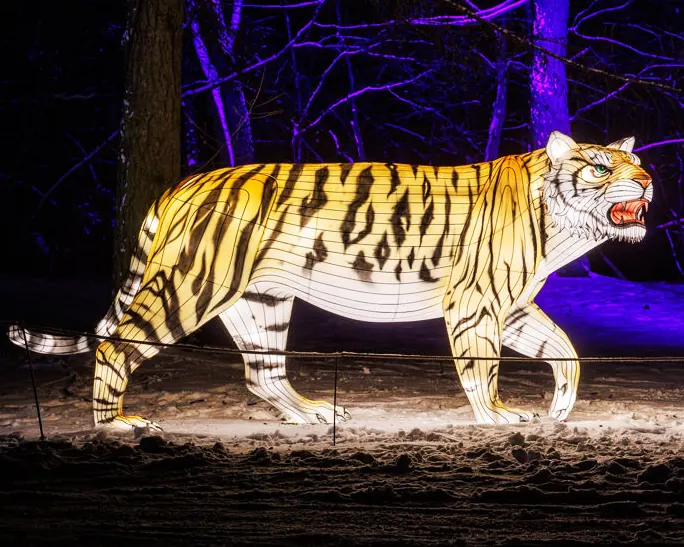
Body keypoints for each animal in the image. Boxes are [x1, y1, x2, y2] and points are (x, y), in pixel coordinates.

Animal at [8, 131, 653, 431]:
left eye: (639, 164)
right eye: (602, 167)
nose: (648, 182)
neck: (560, 228)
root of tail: (182, 183)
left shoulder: (512, 306)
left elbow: (565, 351)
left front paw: (559, 409)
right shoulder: (476, 302)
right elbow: (481, 367)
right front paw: (497, 415)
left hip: (261, 301)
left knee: (262, 373)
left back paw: (315, 414)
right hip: (190, 286)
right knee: (115, 345)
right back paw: (116, 425)